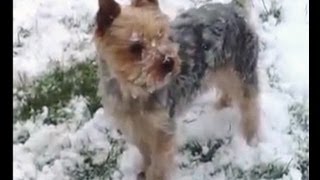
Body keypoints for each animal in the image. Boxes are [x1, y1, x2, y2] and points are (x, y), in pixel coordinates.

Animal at [94, 0, 258, 179]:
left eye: (161, 34)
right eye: (135, 47)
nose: (169, 61)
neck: (137, 90)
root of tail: (234, 7)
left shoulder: (163, 128)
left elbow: (159, 162)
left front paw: (153, 174)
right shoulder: (135, 126)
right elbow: (145, 152)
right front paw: (144, 168)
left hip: (242, 67)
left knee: (250, 105)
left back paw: (250, 138)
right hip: (220, 69)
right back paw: (221, 105)